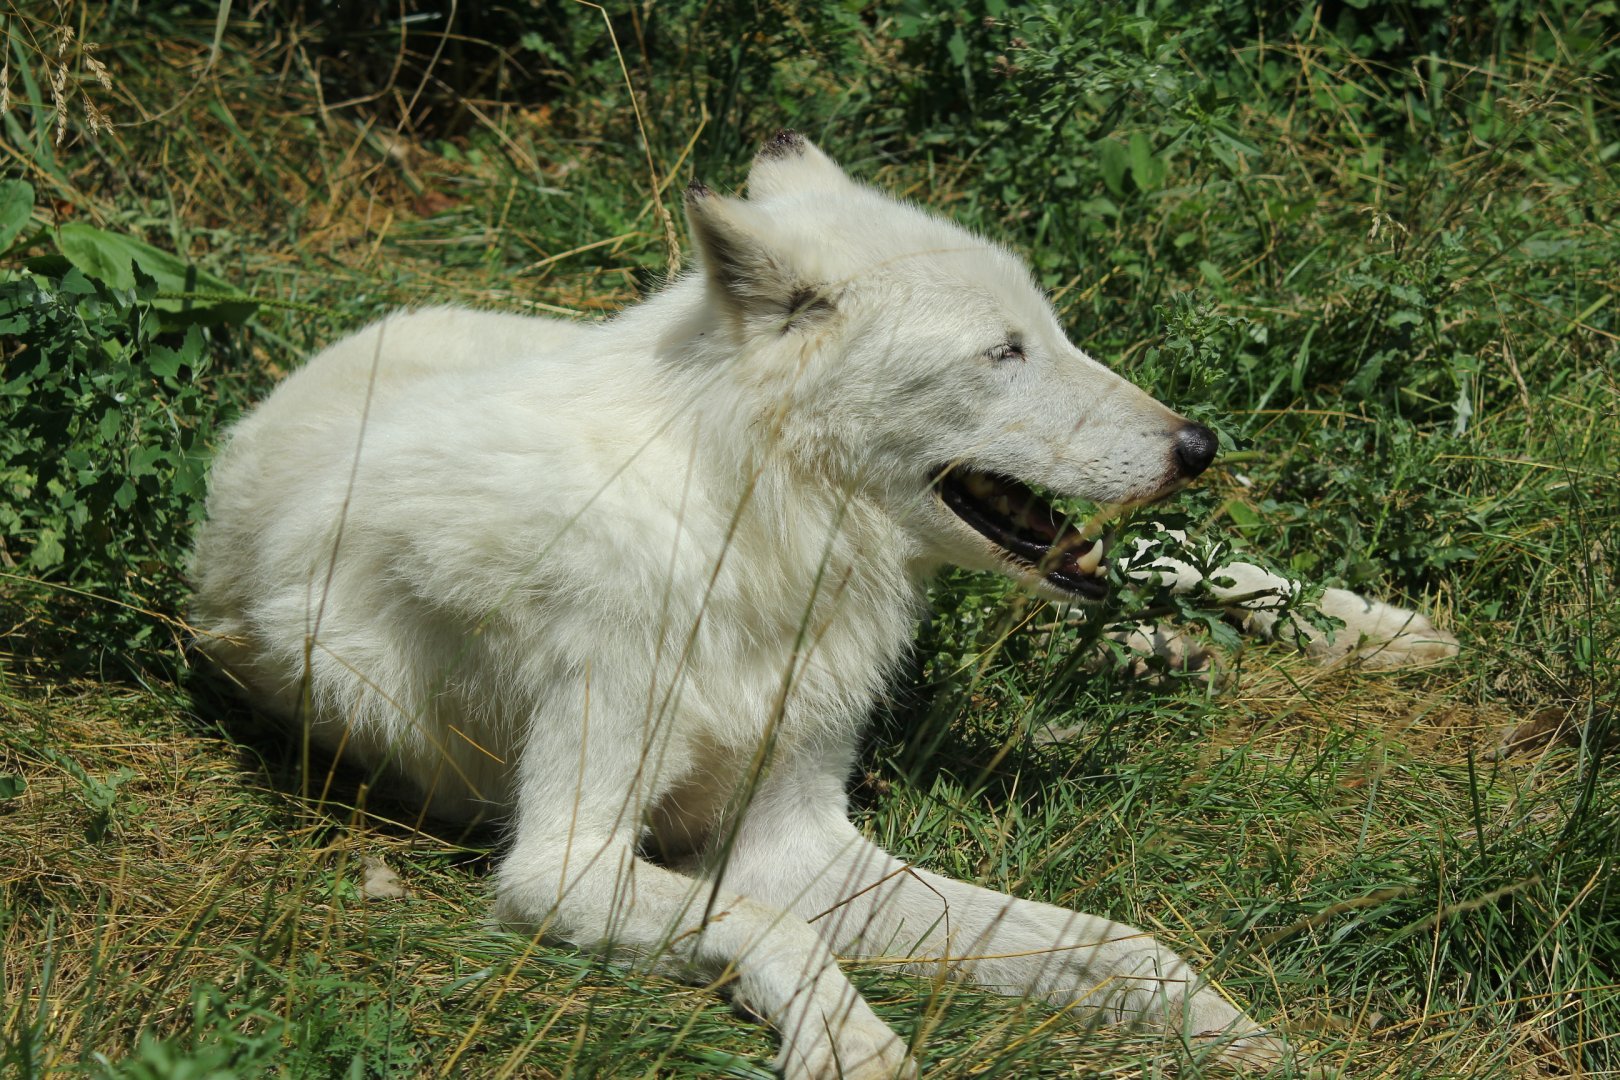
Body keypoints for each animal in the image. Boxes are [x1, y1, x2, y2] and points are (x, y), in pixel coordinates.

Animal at [190, 132, 1455, 1077]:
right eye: (1003, 353)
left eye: (1053, 334)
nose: (1198, 444)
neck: (746, 538)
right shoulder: (568, 863)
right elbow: (775, 925)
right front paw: (853, 1042)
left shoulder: (797, 833)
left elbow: (1125, 943)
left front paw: (1235, 1036)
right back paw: (1178, 653)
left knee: (1157, 553)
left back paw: (1356, 628)